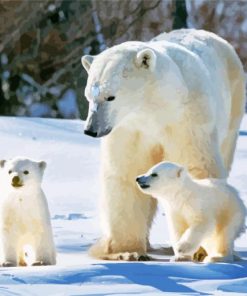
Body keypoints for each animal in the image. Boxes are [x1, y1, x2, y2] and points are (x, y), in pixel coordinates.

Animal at [81, 28, 245, 260]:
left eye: (110, 96)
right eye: (89, 96)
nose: (91, 130)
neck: (155, 108)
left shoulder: (186, 120)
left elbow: (196, 165)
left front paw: (197, 250)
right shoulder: (129, 129)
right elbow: (125, 172)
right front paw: (127, 251)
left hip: (233, 107)